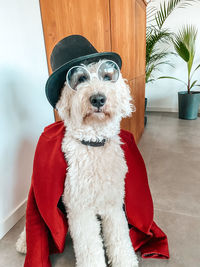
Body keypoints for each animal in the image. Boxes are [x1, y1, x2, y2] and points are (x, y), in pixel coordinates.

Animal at [16, 59, 138, 266]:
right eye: (81, 78)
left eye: (107, 76)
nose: (98, 99)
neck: (94, 144)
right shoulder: (80, 209)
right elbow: (90, 249)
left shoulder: (112, 204)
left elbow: (120, 239)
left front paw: (126, 261)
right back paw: (24, 243)